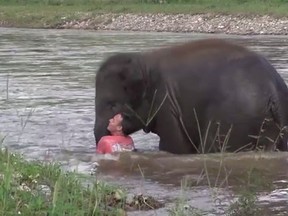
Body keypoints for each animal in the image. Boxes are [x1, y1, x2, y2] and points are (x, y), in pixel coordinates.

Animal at [94, 38, 288, 154]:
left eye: (112, 105)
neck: (144, 61)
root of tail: (272, 92)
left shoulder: (166, 103)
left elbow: (174, 146)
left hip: (234, 118)